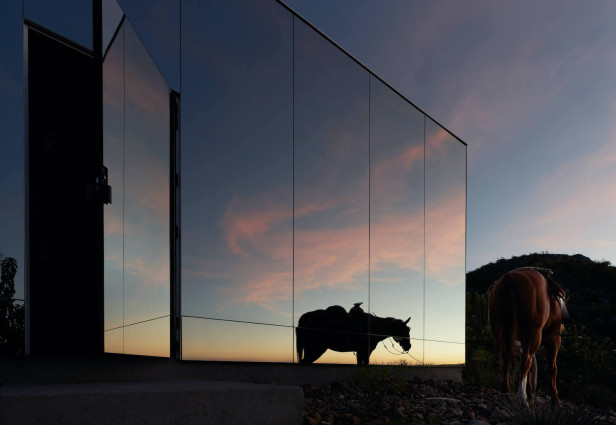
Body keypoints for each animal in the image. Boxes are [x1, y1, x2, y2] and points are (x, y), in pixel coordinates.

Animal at [488, 268, 572, 404]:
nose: (563, 327)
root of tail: (509, 279)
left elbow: (532, 367)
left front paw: (531, 394)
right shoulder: (554, 340)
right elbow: (552, 368)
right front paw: (555, 398)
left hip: (499, 334)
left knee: (504, 360)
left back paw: (506, 390)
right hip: (534, 334)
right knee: (525, 361)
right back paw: (521, 397)